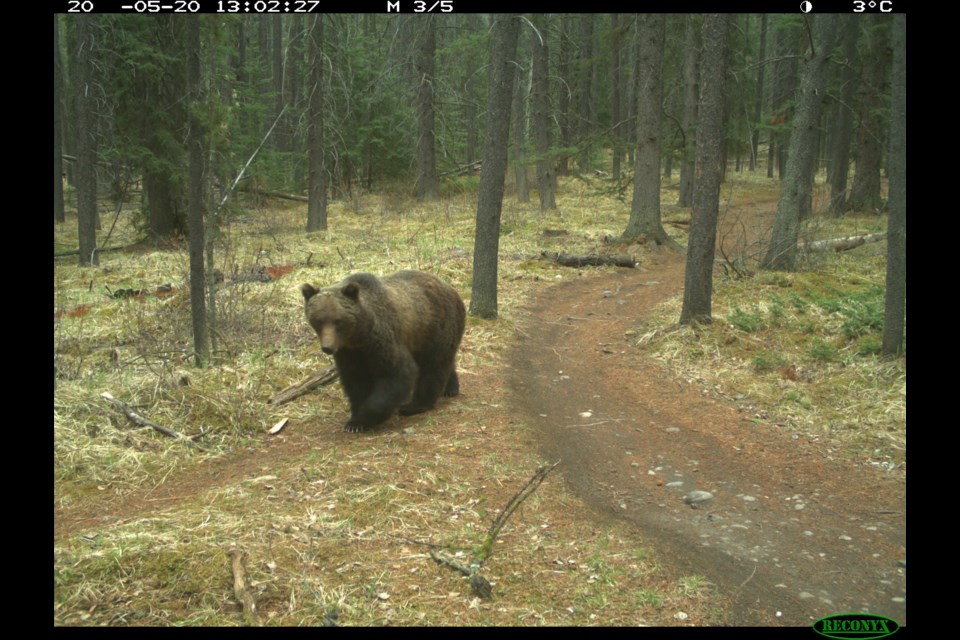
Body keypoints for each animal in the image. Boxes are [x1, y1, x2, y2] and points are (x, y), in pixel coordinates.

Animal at [300, 270, 464, 436]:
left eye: (337, 320)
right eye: (318, 320)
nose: (327, 347)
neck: (358, 336)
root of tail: (449, 287)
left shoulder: (382, 341)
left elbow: (398, 373)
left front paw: (364, 418)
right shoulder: (349, 353)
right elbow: (355, 381)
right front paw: (354, 422)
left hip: (435, 326)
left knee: (434, 365)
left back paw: (415, 405)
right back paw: (450, 388)